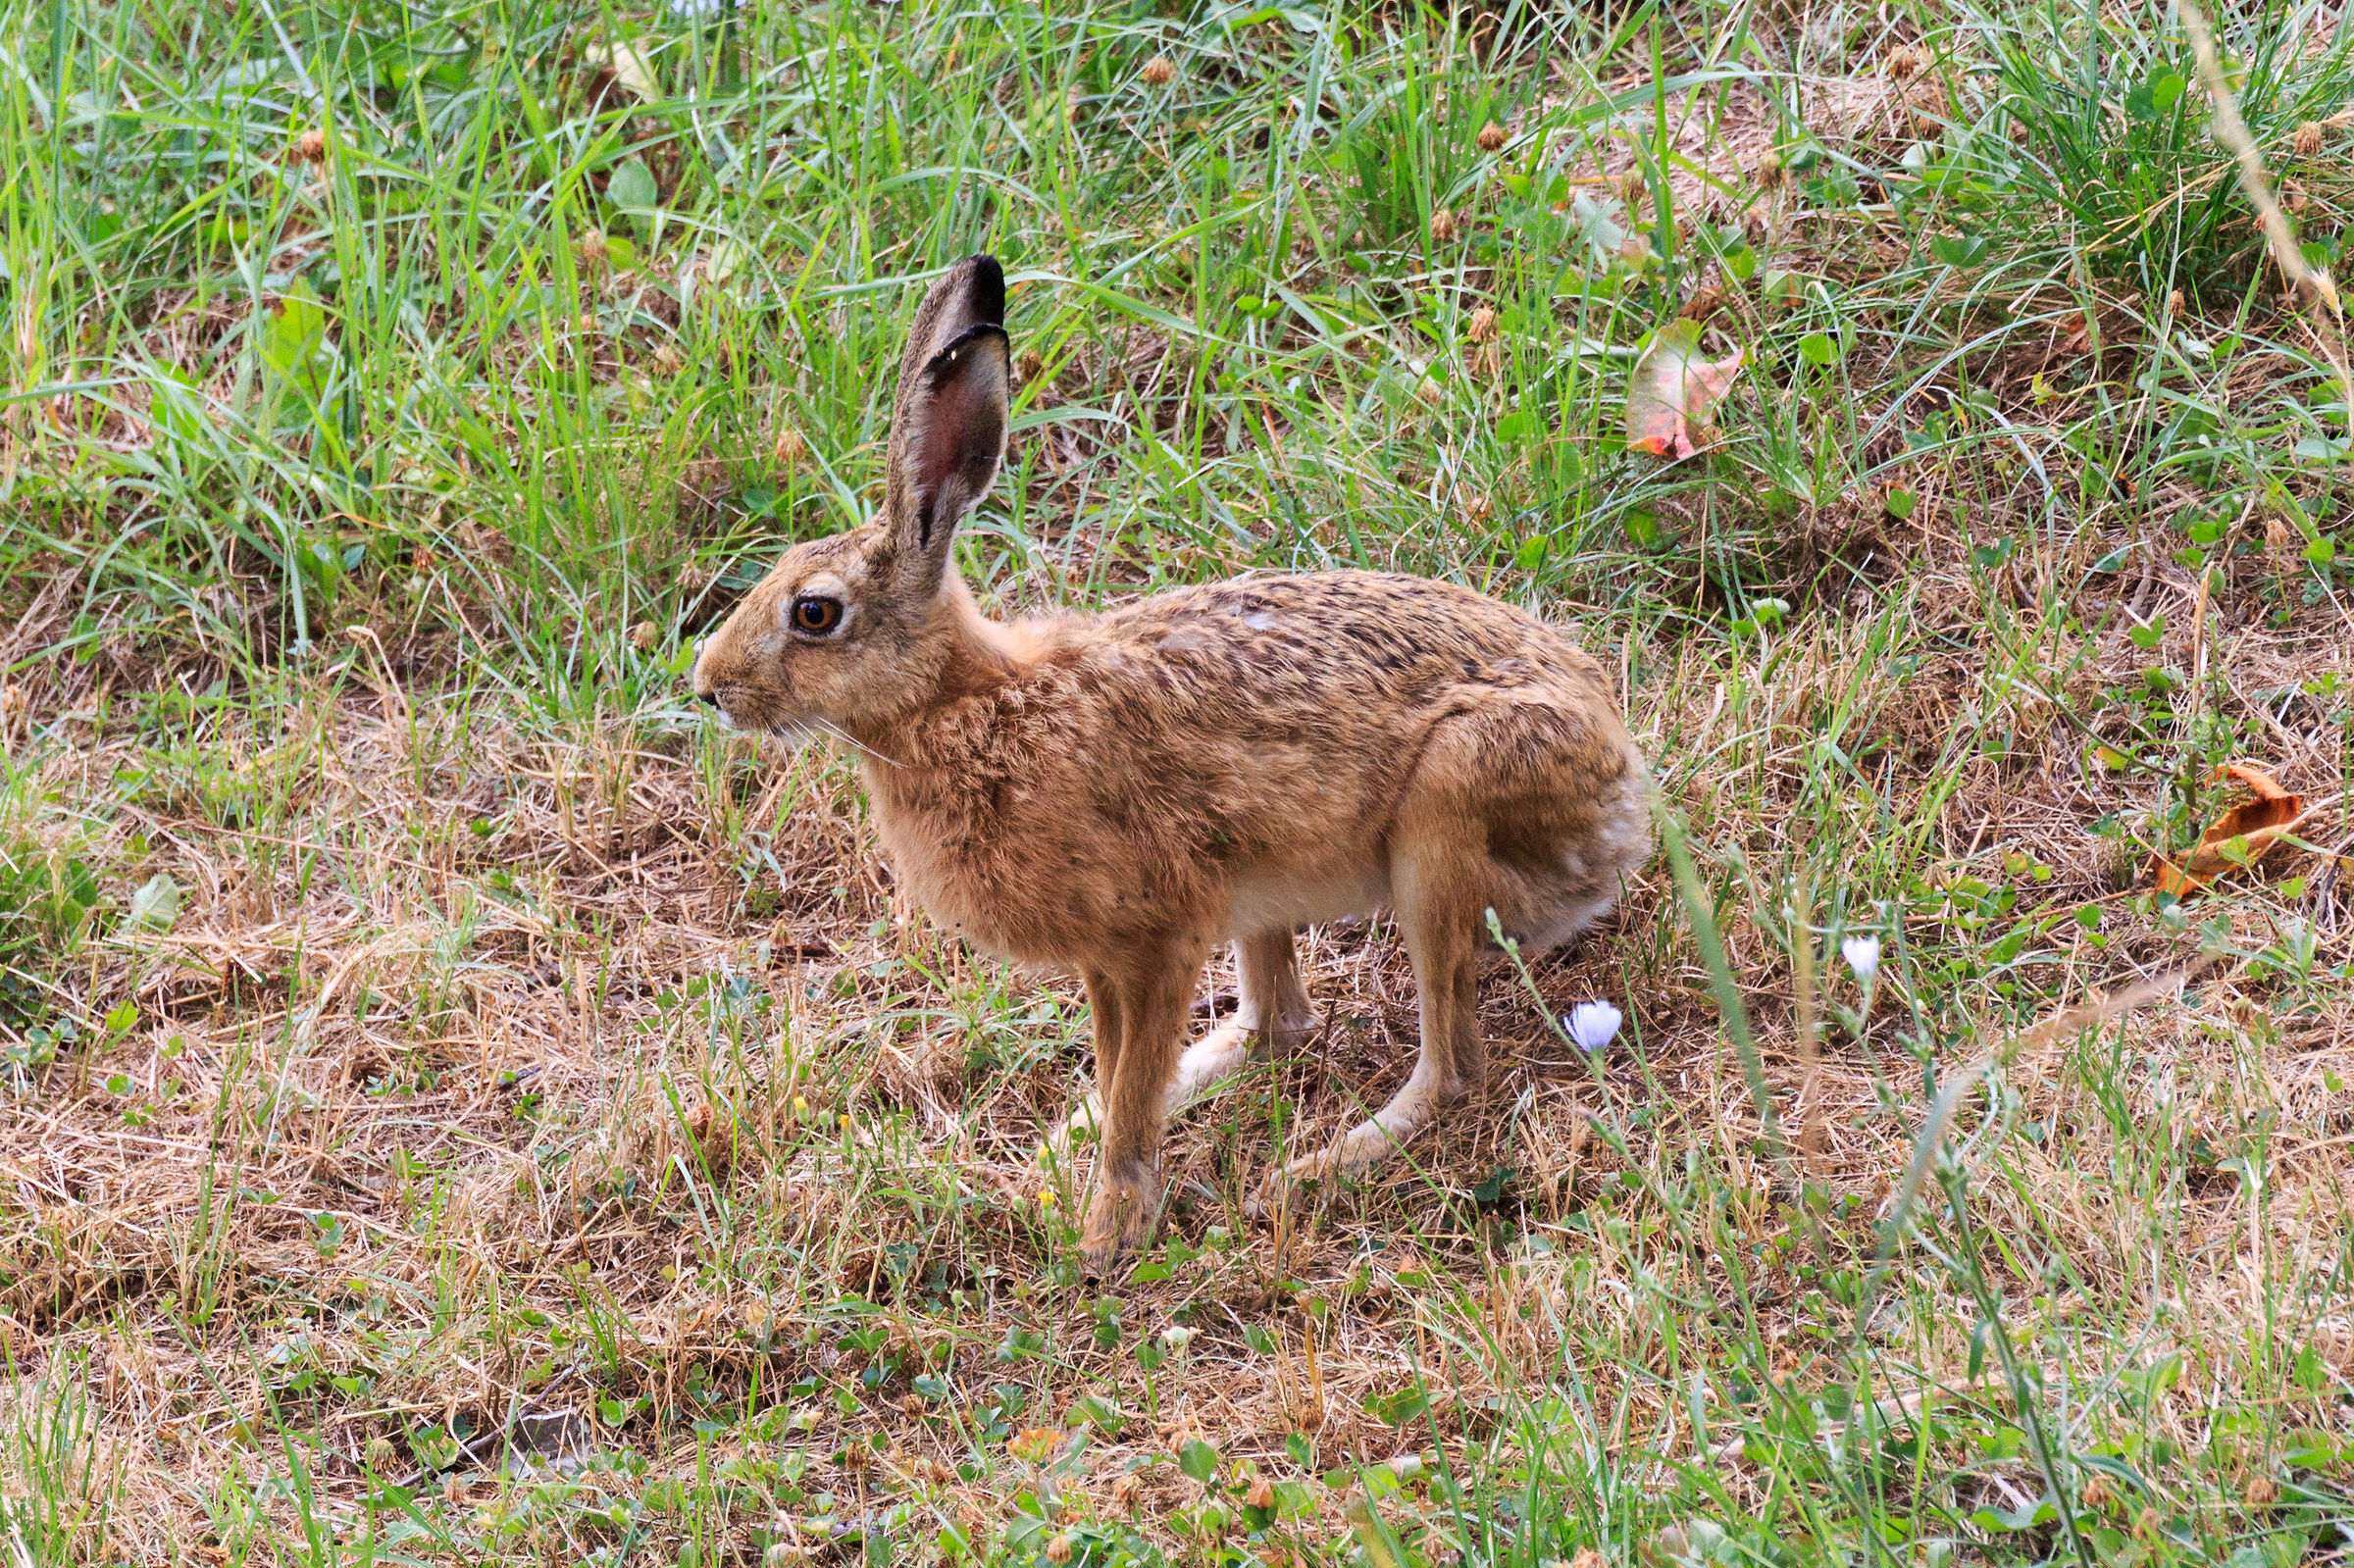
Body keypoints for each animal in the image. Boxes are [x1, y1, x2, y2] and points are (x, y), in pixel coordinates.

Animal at [692, 254, 1651, 1273]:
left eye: (814, 613)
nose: (709, 687)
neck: (967, 702)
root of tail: (1624, 797)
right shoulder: (1106, 958)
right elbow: (1122, 1066)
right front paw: (1096, 1168)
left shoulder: (1156, 938)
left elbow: (1133, 1085)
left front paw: (1108, 1232)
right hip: (1266, 881)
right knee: (1279, 1024)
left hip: (1448, 807)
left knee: (1453, 1064)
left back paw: (1310, 1171)